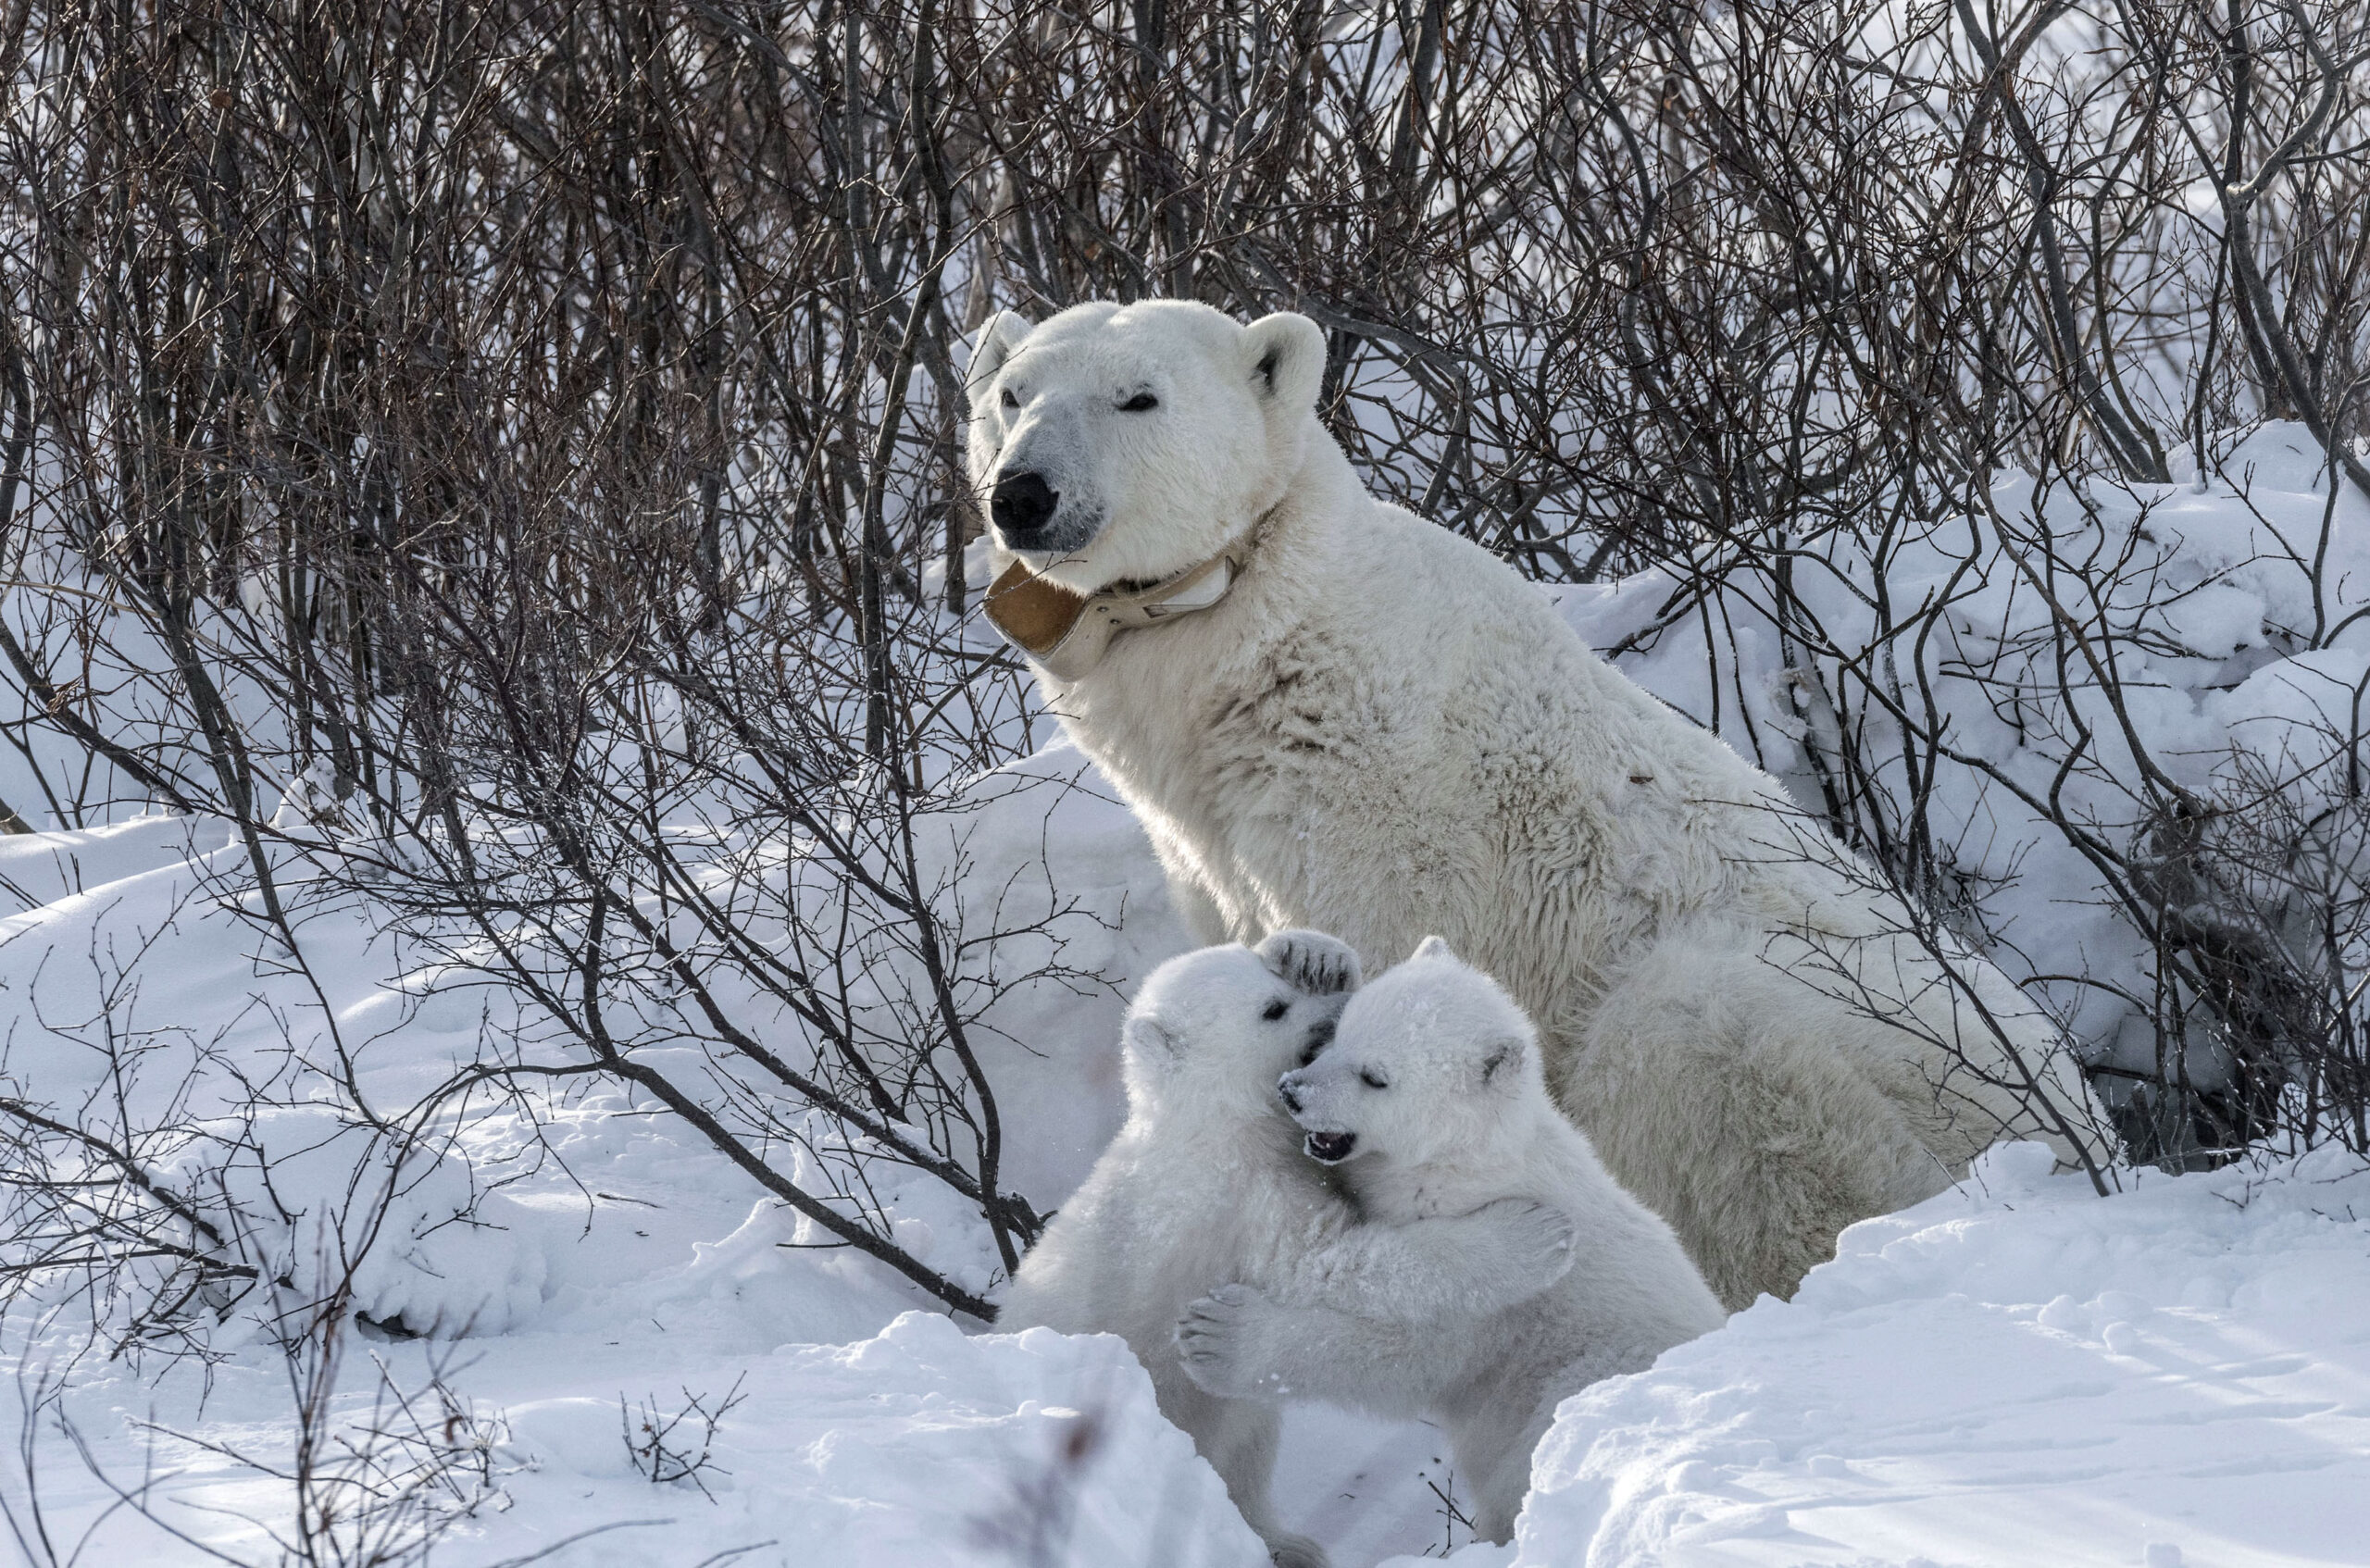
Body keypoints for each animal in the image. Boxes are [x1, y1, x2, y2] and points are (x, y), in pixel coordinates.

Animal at [971, 300, 2104, 1307]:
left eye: (1139, 396)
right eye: (1011, 391)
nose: (1021, 493)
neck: (1260, 655)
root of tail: (2078, 1140)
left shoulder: (1376, 815)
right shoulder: (1201, 833)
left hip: (1841, 1055)